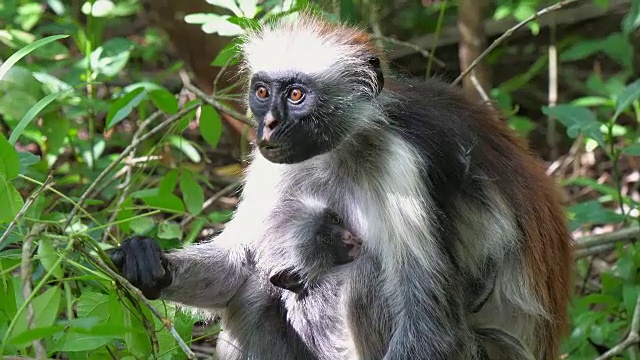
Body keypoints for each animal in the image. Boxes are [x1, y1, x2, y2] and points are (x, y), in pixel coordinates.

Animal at [109, 13, 568, 360]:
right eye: (263, 91)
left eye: (296, 95)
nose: (268, 124)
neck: (342, 149)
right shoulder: (276, 160)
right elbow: (237, 265)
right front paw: (143, 260)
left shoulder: (400, 161)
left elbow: (431, 329)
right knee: (253, 293)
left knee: (365, 277)